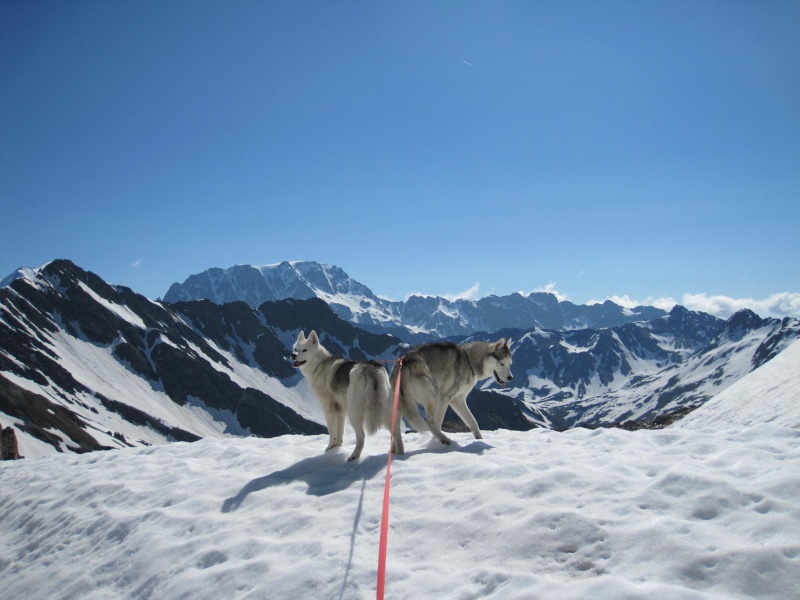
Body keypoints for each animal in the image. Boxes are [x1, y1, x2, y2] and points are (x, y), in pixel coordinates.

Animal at [294, 330, 428, 462]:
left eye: (304, 350)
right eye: (295, 349)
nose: (292, 355)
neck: (319, 364)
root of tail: (372, 370)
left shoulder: (329, 410)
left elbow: (332, 434)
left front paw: (329, 449)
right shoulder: (340, 413)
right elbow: (340, 435)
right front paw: (337, 449)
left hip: (354, 414)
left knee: (361, 436)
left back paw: (354, 456)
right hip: (386, 413)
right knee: (396, 434)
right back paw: (398, 456)